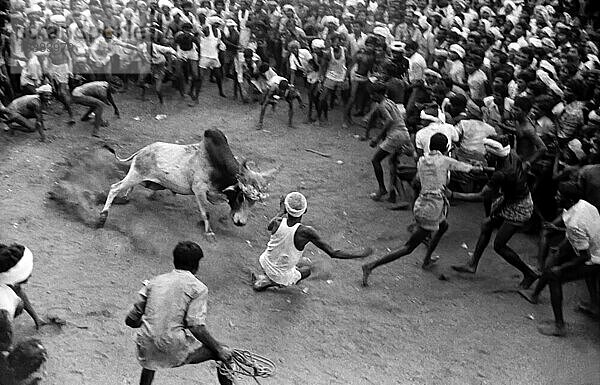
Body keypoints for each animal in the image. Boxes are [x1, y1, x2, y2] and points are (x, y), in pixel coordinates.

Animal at [98, 128, 274, 237]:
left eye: (253, 203)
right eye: (241, 197)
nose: (241, 223)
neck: (217, 165)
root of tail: (142, 151)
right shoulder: (199, 190)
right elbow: (205, 213)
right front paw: (209, 232)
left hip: (142, 178)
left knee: (129, 188)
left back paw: (124, 199)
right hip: (135, 175)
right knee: (115, 188)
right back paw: (103, 216)